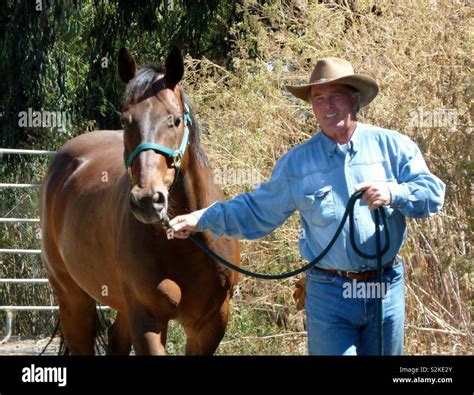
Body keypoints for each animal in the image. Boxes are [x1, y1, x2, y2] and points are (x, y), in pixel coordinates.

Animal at [39, 45, 241, 356]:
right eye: (125, 121)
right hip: (72, 298)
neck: (186, 245)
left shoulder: (211, 323)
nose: (148, 200)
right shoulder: (146, 319)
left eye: (175, 120)